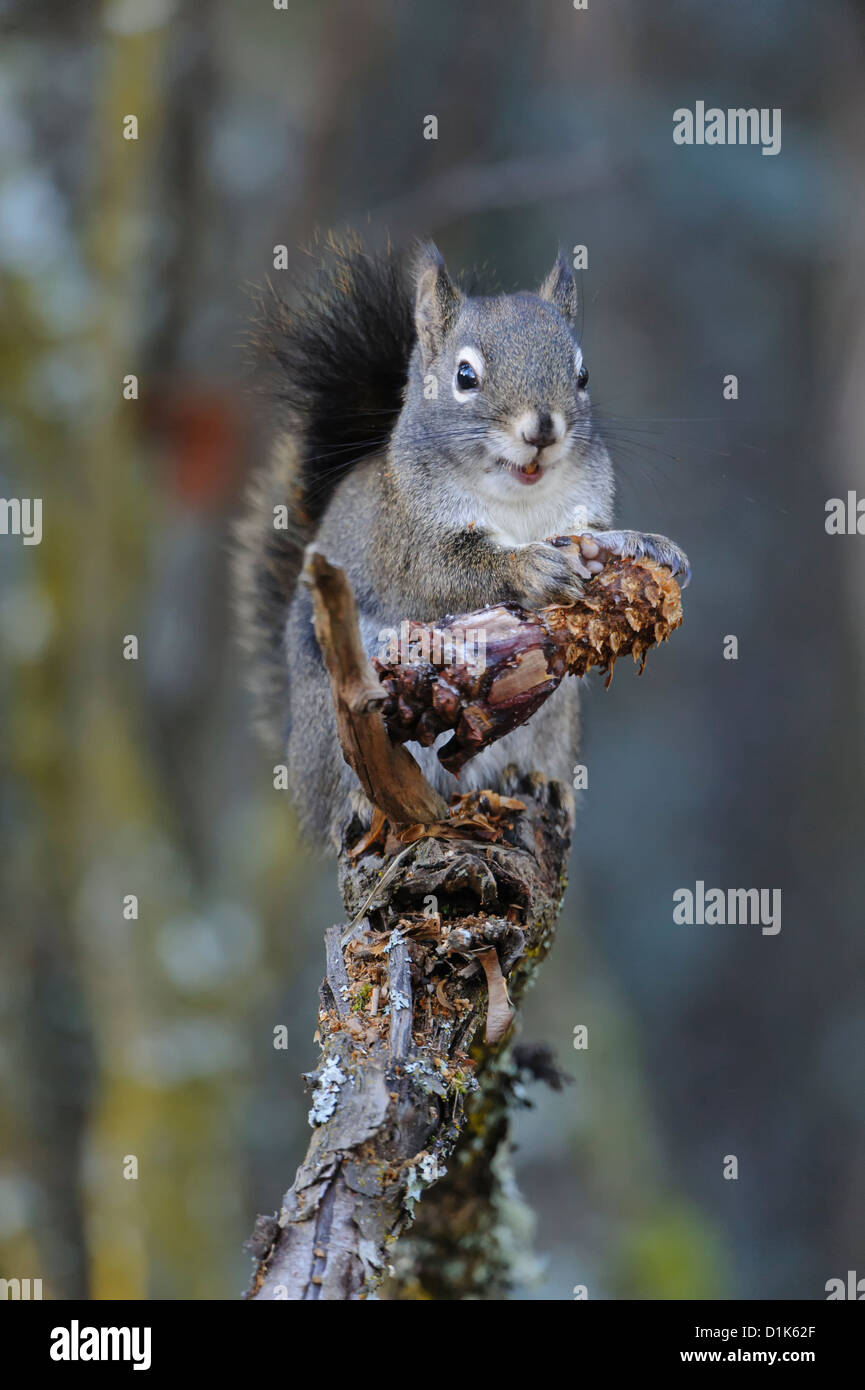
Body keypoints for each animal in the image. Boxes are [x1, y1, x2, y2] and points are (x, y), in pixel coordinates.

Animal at [234, 233, 689, 850]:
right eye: (465, 376)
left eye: (584, 375)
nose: (542, 430)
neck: (517, 498)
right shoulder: (407, 540)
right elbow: (448, 575)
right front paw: (530, 569)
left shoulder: (581, 514)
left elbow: (598, 539)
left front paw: (645, 546)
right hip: (337, 721)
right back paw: (357, 804)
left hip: (551, 721)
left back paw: (536, 782)